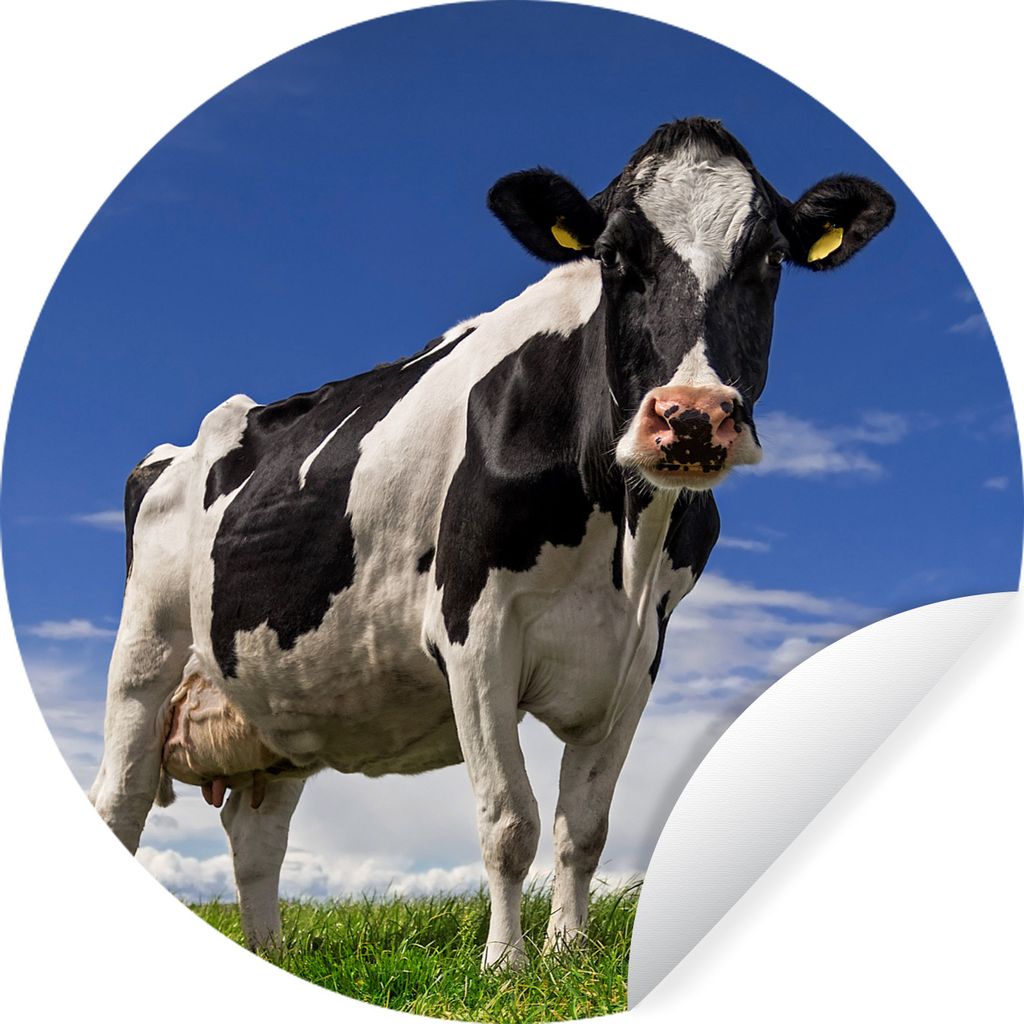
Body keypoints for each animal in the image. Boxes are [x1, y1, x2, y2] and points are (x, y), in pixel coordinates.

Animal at [88, 117, 894, 970]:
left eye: (768, 258)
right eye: (614, 256)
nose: (691, 417)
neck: (623, 537)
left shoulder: (640, 650)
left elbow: (584, 828)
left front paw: (568, 955)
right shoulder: (475, 628)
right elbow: (511, 818)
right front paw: (506, 964)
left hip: (278, 700)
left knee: (256, 833)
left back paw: (271, 954)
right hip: (145, 657)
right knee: (122, 802)